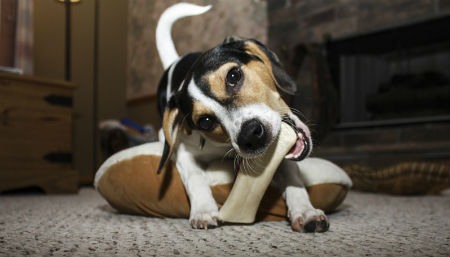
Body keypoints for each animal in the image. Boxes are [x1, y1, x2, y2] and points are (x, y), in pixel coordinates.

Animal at [155, 3, 326, 232]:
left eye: (233, 76)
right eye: (205, 122)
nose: (250, 136)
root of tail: (175, 62)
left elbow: (292, 176)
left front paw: (305, 210)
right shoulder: (184, 151)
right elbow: (195, 178)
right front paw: (203, 210)